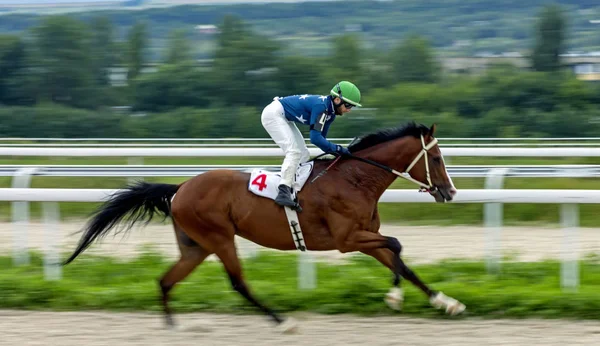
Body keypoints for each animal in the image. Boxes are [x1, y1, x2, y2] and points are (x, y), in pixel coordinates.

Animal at [62, 122, 464, 332]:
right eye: (437, 158)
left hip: (196, 245)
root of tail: (180, 187)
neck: (354, 179)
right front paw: (395, 298)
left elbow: (401, 261)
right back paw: (281, 321)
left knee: (166, 280)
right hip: (219, 237)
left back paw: (172, 324)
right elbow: (396, 245)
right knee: (238, 282)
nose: (450, 192)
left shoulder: (365, 237)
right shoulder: (348, 239)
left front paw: (447, 302)